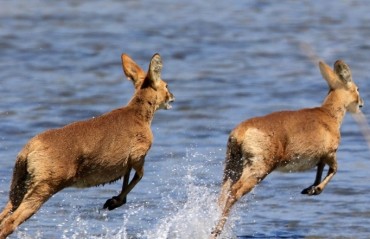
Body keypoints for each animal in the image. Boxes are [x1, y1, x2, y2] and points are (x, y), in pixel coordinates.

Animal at [0, 52, 175, 237]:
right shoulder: (138, 155)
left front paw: (114, 201)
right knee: (10, 223)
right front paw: (113, 202)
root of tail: (29, 149)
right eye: (166, 84)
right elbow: (139, 175)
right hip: (43, 187)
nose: (172, 96)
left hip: (19, 186)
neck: (138, 115)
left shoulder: (126, 162)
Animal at [211, 59, 364, 237]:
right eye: (357, 88)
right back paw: (216, 230)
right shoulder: (330, 153)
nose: (362, 104)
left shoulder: (320, 158)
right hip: (259, 168)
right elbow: (334, 169)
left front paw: (310, 189)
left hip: (232, 164)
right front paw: (315, 190)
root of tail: (240, 132)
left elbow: (320, 171)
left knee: (223, 191)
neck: (328, 115)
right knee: (234, 191)